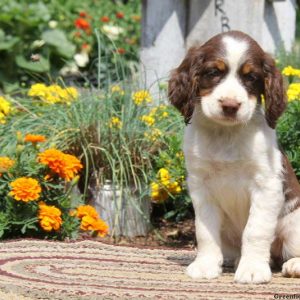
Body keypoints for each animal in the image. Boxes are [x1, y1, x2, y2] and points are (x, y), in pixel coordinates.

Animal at [168, 30, 300, 284]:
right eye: (213, 73)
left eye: (251, 77)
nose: (230, 105)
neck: (226, 133)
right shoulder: (201, 186)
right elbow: (205, 230)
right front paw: (205, 266)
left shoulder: (266, 185)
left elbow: (255, 230)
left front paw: (253, 269)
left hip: (293, 223)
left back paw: (293, 265)